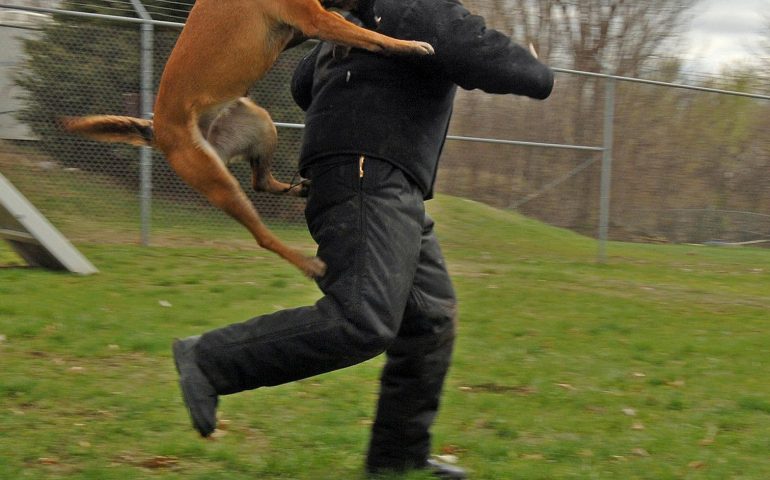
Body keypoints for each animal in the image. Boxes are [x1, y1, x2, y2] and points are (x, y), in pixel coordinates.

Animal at [61, 0, 432, 278]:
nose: (377, 11)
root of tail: (159, 130)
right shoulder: (311, 17)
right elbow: (370, 36)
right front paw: (411, 46)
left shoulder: (298, 27)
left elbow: (346, 26)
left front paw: (345, 45)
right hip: (218, 181)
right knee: (262, 235)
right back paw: (308, 264)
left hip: (261, 124)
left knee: (261, 181)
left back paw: (299, 188)